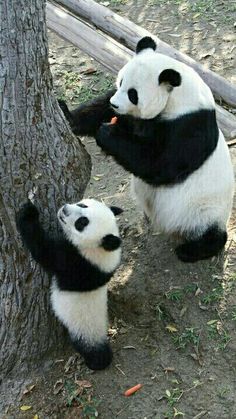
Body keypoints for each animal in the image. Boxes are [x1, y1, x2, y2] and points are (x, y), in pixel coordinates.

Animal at [15, 199, 122, 370]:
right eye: (83, 205)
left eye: (82, 223)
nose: (64, 209)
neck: (100, 249)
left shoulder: (77, 262)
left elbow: (44, 251)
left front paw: (29, 213)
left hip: (84, 329)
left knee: (91, 348)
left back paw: (98, 361)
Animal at [59, 38, 234, 262]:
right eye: (121, 82)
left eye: (133, 94)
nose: (116, 104)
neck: (178, 96)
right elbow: (101, 108)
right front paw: (69, 116)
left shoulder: (190, 124)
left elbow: (161, 166)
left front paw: (108, 133)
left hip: (204, 209)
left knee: (211, 231)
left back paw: (191, 250)